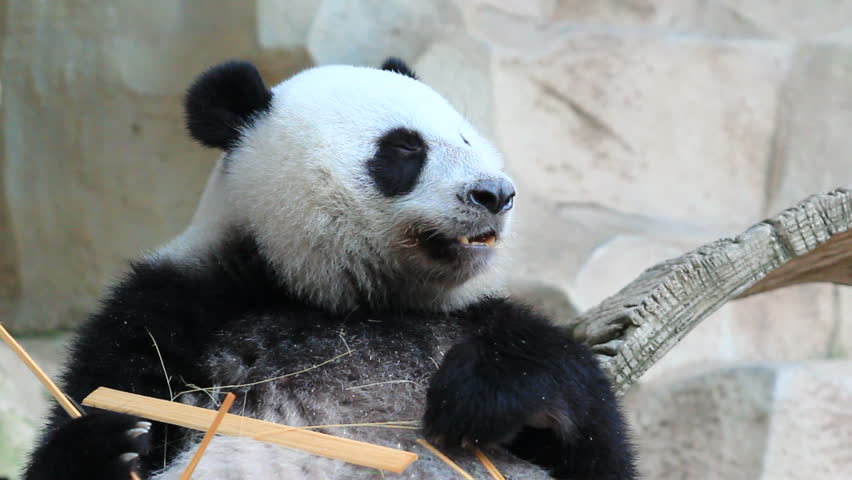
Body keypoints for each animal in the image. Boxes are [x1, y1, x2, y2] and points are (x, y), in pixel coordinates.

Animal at [24, 58, 637, 480]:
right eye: (403, 149)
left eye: (465, 136)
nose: (495, 194)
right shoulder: (165, 311)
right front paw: (108, 443)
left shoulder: (470, 319)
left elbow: (590, 435)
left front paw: (481, 393)